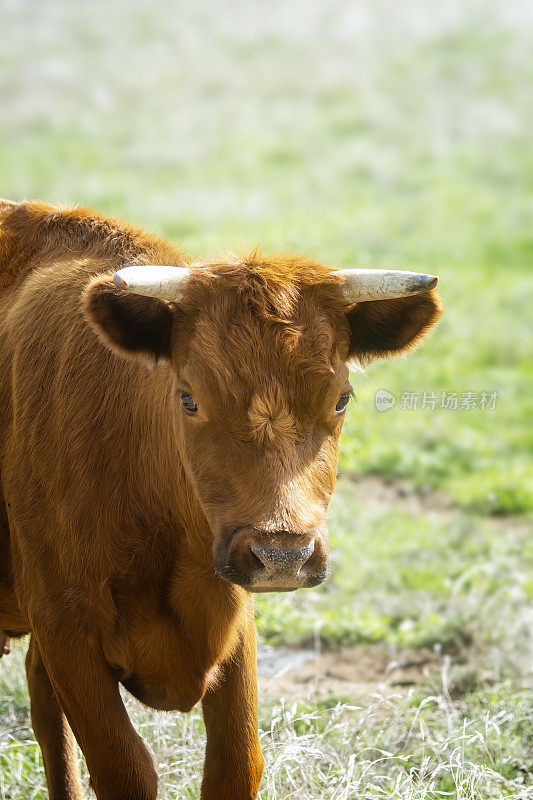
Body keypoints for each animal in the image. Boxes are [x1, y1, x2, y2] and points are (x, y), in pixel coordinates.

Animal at [0, 200, 440, 800]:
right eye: (188, 398)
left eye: (342, 399)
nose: (282, 557)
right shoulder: (65, 625)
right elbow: (125, 768)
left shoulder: (236, 621)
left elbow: (237, 763)